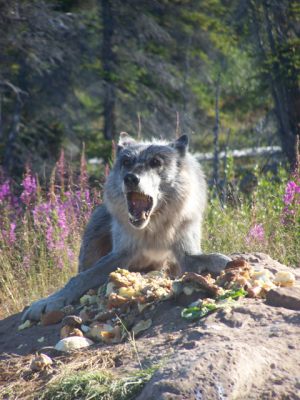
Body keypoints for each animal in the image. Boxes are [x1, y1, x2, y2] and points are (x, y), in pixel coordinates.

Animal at [22, 133, 231, 320]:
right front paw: (48, 301)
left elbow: (214, 258)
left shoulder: (186, 254)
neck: (153, 230)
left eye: (155, 162)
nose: (130, 178)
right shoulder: (121, 255)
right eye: (126, 162)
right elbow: (79, 279)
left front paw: (229, 263)